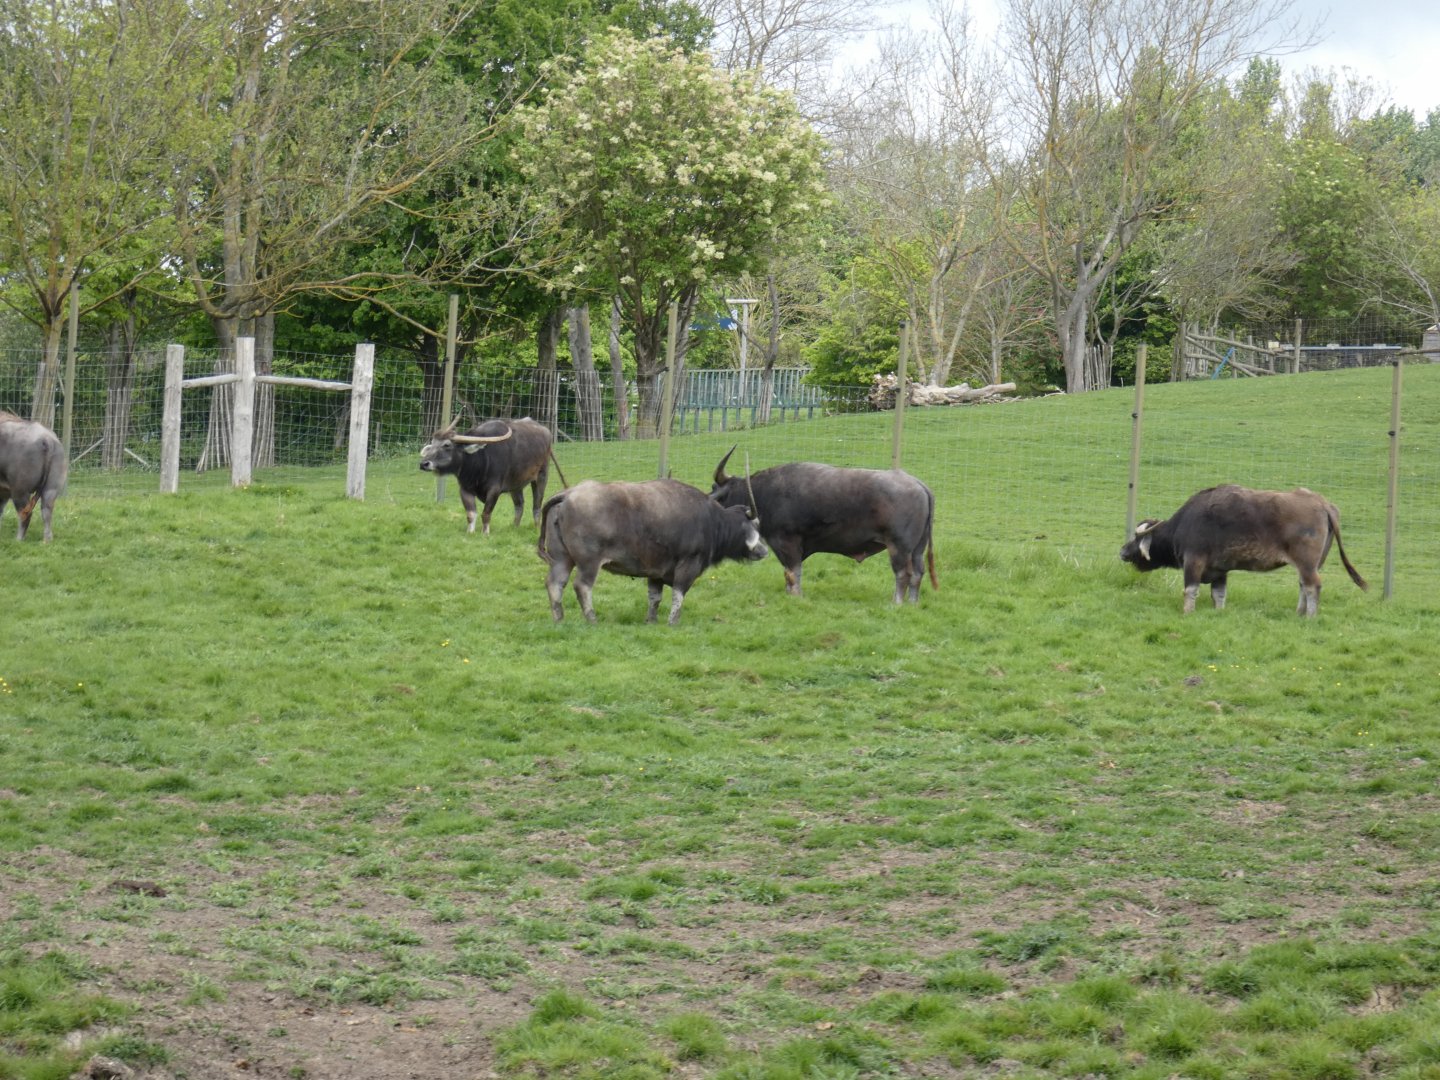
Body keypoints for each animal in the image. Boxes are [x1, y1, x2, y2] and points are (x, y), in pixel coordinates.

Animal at [0, 411, 68, 542]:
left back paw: (19, 539)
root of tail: (46, 439)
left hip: (20, 489)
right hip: (51, 487)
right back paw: (47, 540)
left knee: (25, 513)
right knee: (46, 509)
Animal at [419, 417, 553, 535]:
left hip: (541, 476)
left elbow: (486, 513)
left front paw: (485, 533)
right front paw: (470, 532)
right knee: (519, 505)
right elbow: (471, 514)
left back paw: (536, 528)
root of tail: (546, 432)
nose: (423, 464)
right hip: (516, 485)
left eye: (447, 445)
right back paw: (514, 527)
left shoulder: (494, 490)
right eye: (433, 443)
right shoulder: (465, 489)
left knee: (537, 505)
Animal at [537, 478, 768, 625]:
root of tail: (568, 495)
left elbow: (654, 597)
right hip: (589, 563)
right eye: (754, 525)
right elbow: (678, 594)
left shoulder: (656, 571)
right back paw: (592, 619)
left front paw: (651, 620)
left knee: (555, 583)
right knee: (582, 586)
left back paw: (559, 619)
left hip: (561, 559)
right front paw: (673, 622)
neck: (711, 521)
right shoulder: (688, 565)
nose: (764, 551)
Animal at [709, 448, 937, 603]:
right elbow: (788, 573)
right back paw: (913, 603)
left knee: (903, 574)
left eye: (718, 492)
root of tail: (919, 485)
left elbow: (792, 573)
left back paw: (896, 603)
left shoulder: (787, 542)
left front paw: (795, 596)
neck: (763, 493)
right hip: (917, 549)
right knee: (918, 573)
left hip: (899, 546)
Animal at [1120, 484, 1367, 616]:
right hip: (1311, 564)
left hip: (1306, 563)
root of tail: (1322, 503)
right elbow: (1219, 595)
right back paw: (1299, 613)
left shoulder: (1193, 562)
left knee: (1312, 586)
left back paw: (1310, 616)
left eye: (1136, 538)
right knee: (1303, 586)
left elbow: (1190, 590)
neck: (1184, 523)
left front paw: (1187, 612)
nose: (1122, 552)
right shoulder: (1220, 571)